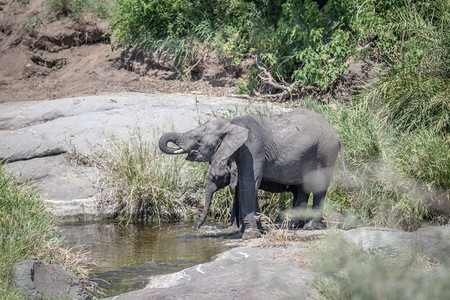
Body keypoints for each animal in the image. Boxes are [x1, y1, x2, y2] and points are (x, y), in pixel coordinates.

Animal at [159, 109, 348, 239]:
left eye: (198, 140)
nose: (197, 229)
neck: (231, 125)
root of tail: (337, 135)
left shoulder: (253, 149)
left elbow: (249, 184)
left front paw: (249, 235)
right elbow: (245, 186)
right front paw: (254, 231)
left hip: (325, 152)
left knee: (319, 186)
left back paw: (309, 227)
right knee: (303, 188)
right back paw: (292, 226)